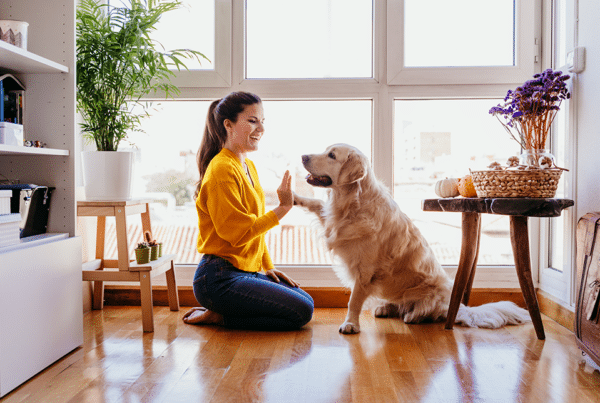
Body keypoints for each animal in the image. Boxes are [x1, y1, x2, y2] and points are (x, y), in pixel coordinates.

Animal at [292, 144, 532, 334]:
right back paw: (385, 308)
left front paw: (350, 324)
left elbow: (354, 301)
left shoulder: (365, 271)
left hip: (430, 294)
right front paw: (293, 197)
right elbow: (316, 204)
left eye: (332, 155)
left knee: (429, 312)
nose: (302, 156)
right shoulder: (332, 221)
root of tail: (456, 306)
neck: (352, 203)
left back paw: (413, 316)